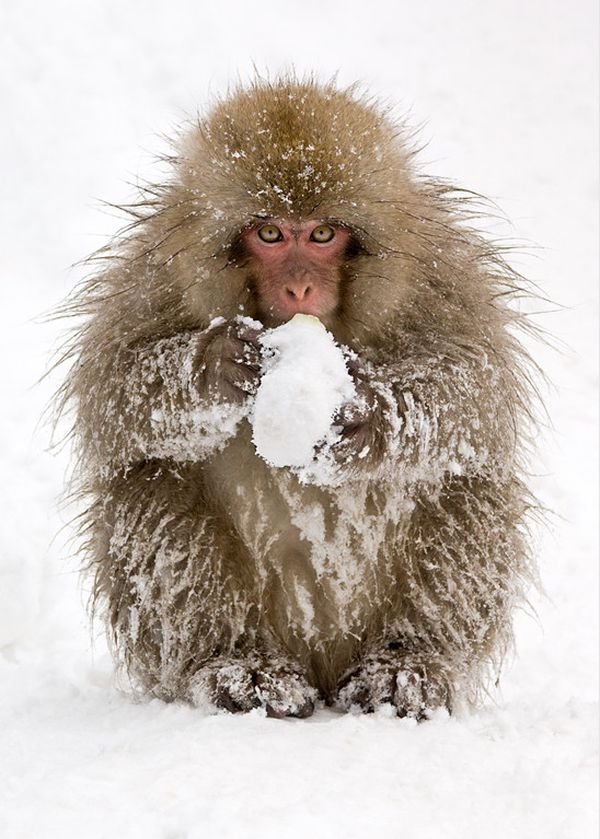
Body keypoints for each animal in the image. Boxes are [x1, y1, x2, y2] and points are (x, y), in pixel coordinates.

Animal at [58, 79, 536, 720]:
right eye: (269, 234)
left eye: (323, 234)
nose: (300, 286)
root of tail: (324, 663)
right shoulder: (155, 274)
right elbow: (113, 391)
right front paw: (213, 367)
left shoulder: (443, 275)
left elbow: (475, 391)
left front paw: (368, 419)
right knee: (150, 483)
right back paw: (237, 663)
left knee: (467, 490)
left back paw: (406, 663)